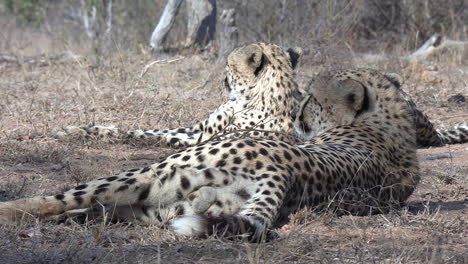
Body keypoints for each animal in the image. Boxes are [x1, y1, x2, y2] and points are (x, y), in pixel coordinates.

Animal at [0, 68, 420, 241]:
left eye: (314, 100)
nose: (299, 112)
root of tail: (285, 174)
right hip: (166, 207)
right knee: (101, 211)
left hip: (149, 177)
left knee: (59, 200)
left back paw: (19, 209)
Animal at [58, 42, 306, 147]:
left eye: (227, 65)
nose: (222, 80)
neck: (243, 102)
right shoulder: (199, 129)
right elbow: (147, 129)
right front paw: (80, 128)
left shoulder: (203, 139)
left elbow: (149, 135)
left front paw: (95, 134)